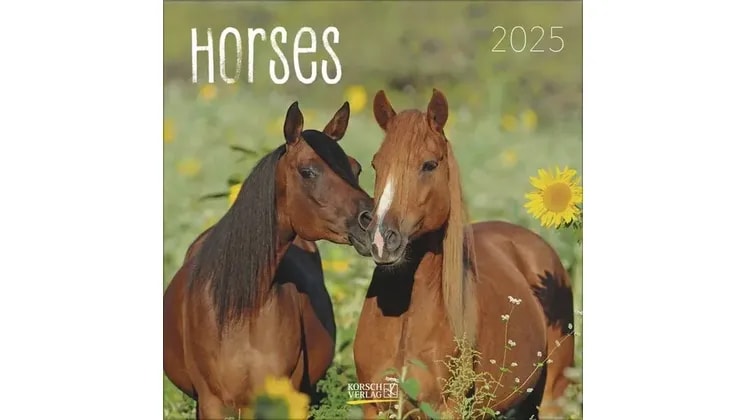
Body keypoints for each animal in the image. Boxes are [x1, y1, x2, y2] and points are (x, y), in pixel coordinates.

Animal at [353, 89, 575, 419]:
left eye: (429, 164)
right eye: (376, 164)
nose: (381, 239)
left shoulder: (449, 408)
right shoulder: (374, 406)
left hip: (553, 396)